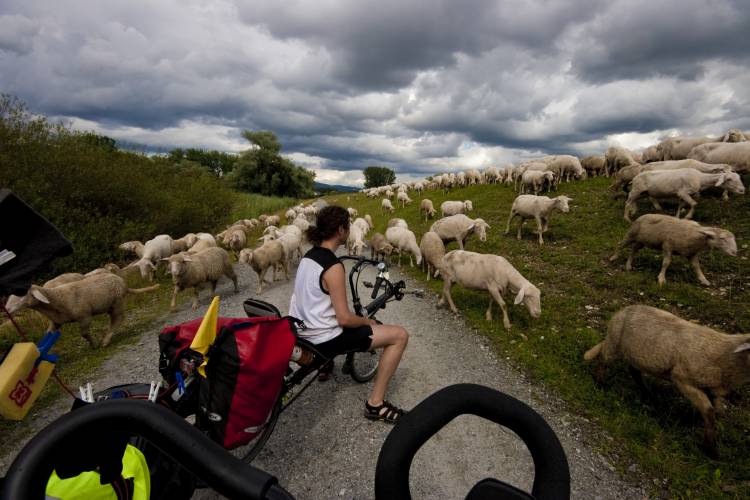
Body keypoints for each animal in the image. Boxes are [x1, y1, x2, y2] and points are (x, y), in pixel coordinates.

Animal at [5, 274, 159, 348]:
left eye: (22, 294)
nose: (6, 309)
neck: (56, 299)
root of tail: (124, 283)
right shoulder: (56, 321)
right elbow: (48, 334)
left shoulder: (85, 316)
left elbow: (84, 333)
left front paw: (94, 345)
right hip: (110, 304)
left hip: (118, 302)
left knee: (117, 319)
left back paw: (106, 340)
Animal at [588, 304, 750, 458]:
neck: (725, 355)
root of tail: (623, 309)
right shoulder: (682, 379)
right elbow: (709, 412)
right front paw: (710, 450)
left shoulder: (712, 389)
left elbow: (714, 411)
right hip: (614, 344)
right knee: (603, 360)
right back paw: (600, 384)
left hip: (636, 356)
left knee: (634, 371)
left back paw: (647, 395)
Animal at [612, 214, 740, 288]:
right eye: (722, 239)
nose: (735, 253)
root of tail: (642, 215)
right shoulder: (668, 246)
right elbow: (666, 263)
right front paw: (661, 278)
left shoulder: (692, 254)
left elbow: (696, 267)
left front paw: (704, 280)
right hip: (631, 234)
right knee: (620, 244)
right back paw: (613, 257)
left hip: (642, 241)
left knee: (633, 250)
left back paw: (628, 265)